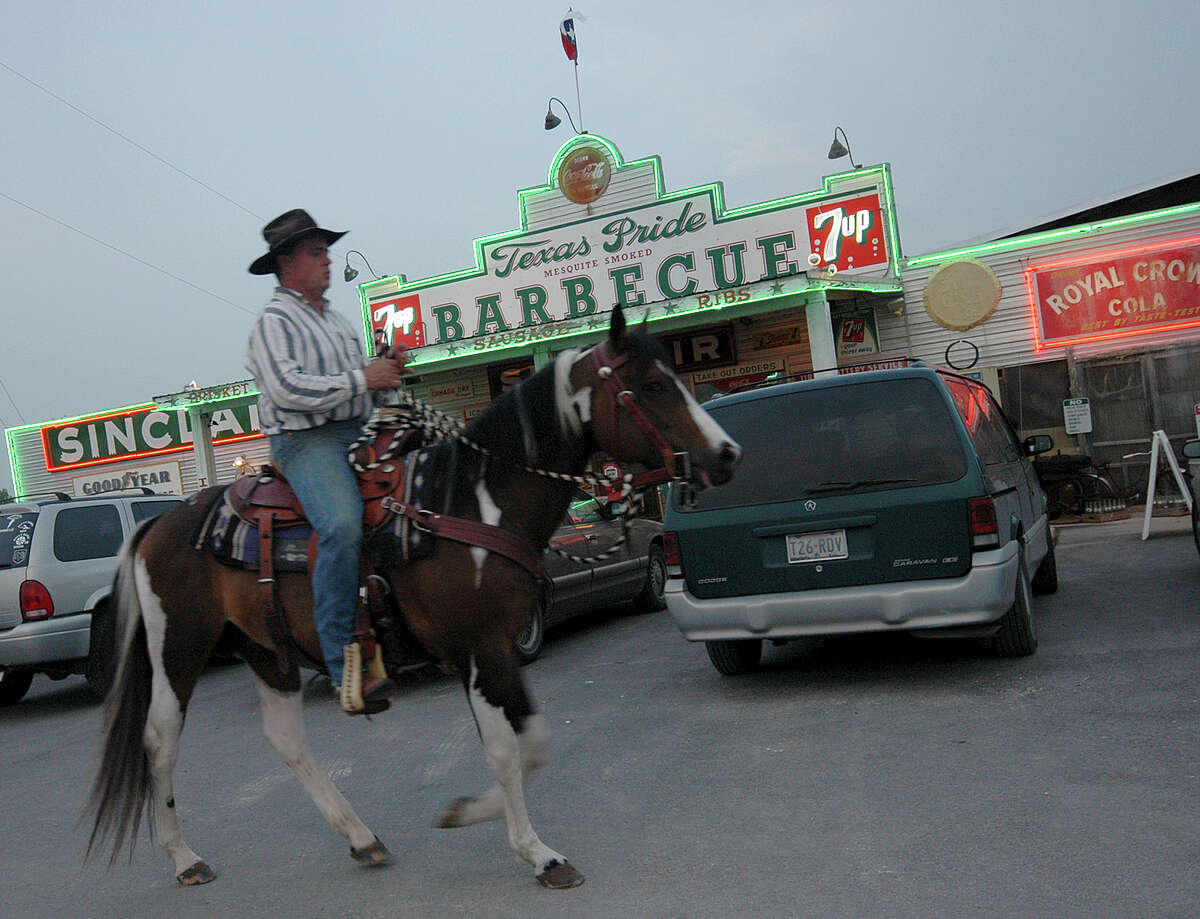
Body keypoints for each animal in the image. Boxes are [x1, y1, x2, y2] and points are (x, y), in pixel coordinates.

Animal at [87, 307, 739, 892]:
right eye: (652, 386)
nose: (726, 455)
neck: (472, 503)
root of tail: (159, 523)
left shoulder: (501, 645)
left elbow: (534, 742)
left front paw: (469, 813)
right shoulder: (478, 645)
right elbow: (506, 751)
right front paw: (538, 854)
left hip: (263, 649)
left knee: (287, 740)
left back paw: (361, 838)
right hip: (180, 644)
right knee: (159, 740)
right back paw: (185, 858)